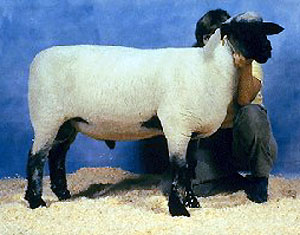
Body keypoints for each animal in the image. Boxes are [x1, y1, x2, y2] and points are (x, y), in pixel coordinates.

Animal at [24, 11, 282, 216]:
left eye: (263, 29)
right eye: (240, 30)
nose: (267, 50)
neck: (208, 67)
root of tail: (38, 59)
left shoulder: (193, 132)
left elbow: (189, 168)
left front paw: (192, 202)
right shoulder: (177, 126)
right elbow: (178, 168)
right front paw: (178, 209)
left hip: (67, 123)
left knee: (57, 156)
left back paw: (63, 194)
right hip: (46, 117)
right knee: (36, 158)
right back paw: (36, 201)